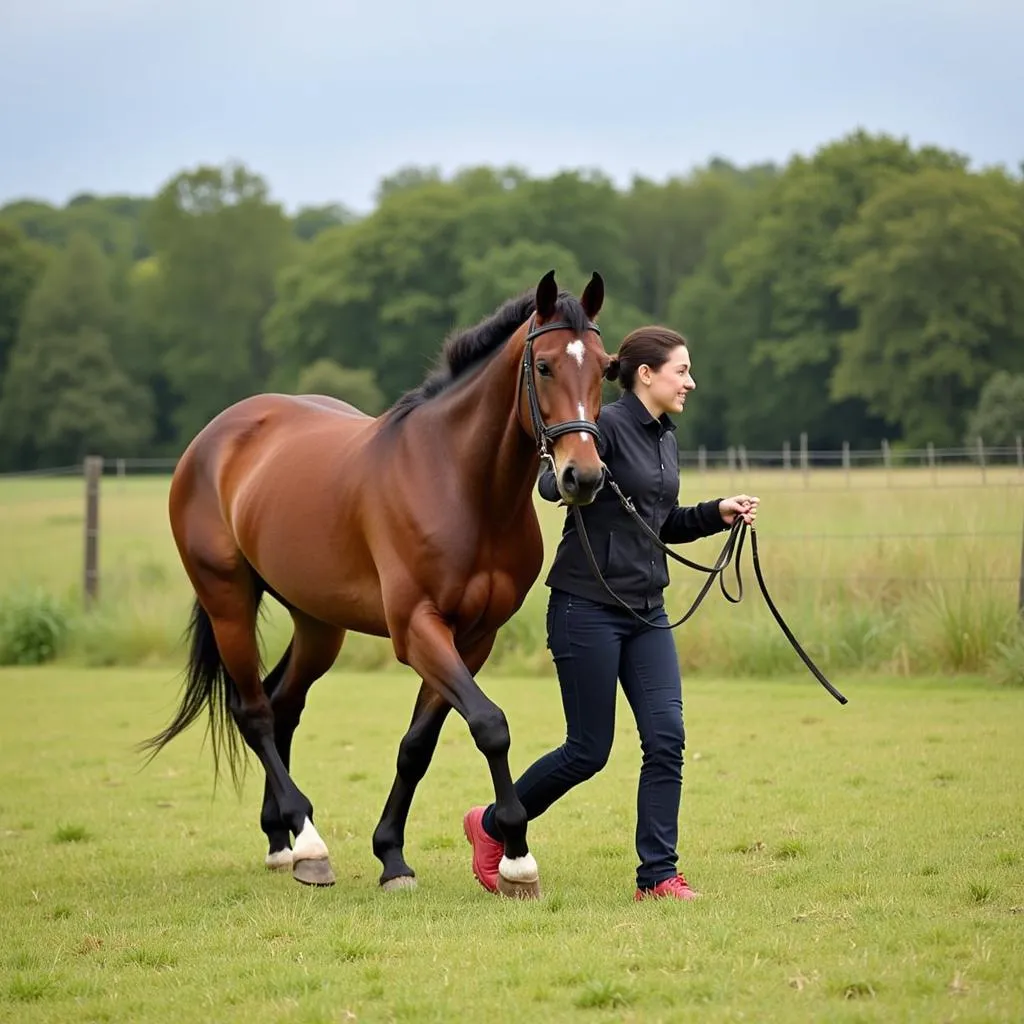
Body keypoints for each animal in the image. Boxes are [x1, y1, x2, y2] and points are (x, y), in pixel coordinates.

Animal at [142, 270, 606, 897]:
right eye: (545, 366)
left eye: (606, 366)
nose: (583, 476)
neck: (459, 482)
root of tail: (213, 438)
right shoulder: (418, 630)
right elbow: (490, 725)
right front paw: (516, 856)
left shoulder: (472, 639)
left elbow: (418, 747)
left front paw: (392, 855)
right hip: (228, 604)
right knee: (255, 711)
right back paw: (309, 843)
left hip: (318, 623)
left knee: (283, 703)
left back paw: (282, 840)